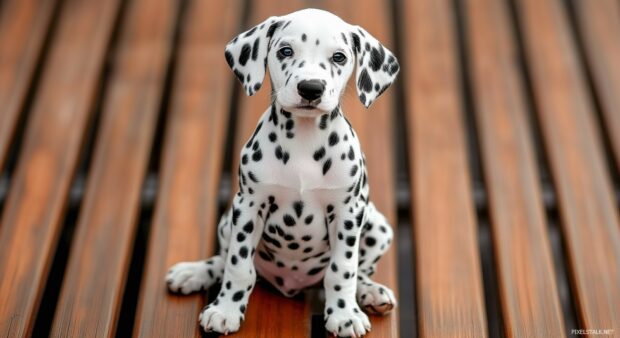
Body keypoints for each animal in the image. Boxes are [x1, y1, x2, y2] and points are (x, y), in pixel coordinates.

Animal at [165, 8, 398, 338]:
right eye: (285, 51)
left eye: (339, 57)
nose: (310, 88)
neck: (303, 141)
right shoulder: (250, 205)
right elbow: (238, 265)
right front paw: (225, 310)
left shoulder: (347, 212)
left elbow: (342, 270)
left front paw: (344, 314)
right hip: (227, 219)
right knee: (222, 260)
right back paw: (193, 272)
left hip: (377, 226)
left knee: (357, 272)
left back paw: (370, 292)